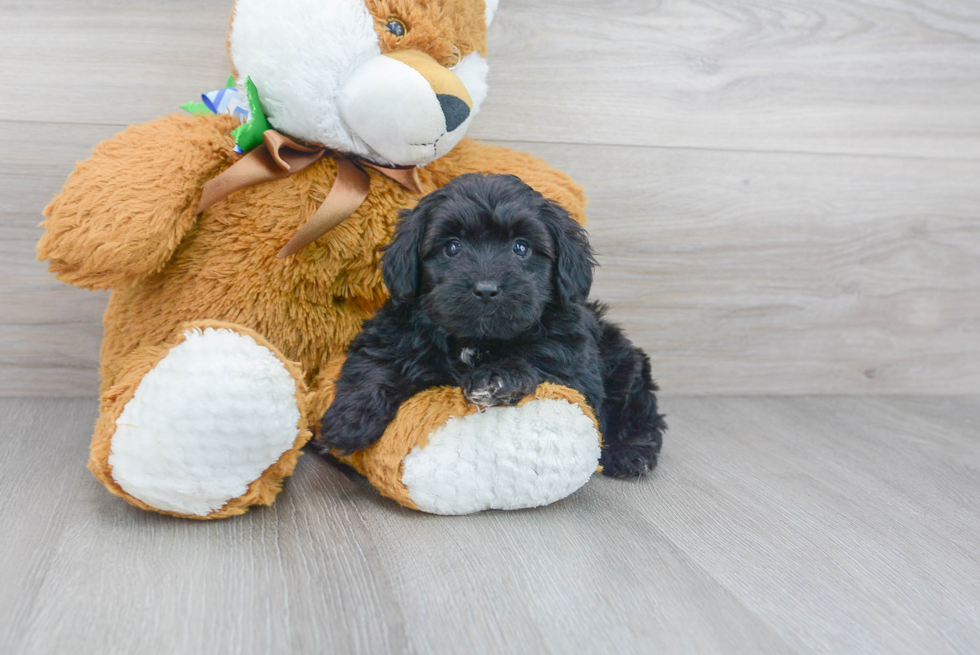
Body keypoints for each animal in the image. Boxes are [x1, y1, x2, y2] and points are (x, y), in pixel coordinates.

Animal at [316, 173, 668, 476]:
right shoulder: (393, 330)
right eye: (452, 246)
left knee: (639, 410)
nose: (486, 289)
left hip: (623, 360)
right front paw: (348, 421)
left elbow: (538, 359)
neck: (476, 339)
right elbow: (375, 363)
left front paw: (496, 378)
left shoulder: (573, 363)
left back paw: (631, 453)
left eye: (521, 247)